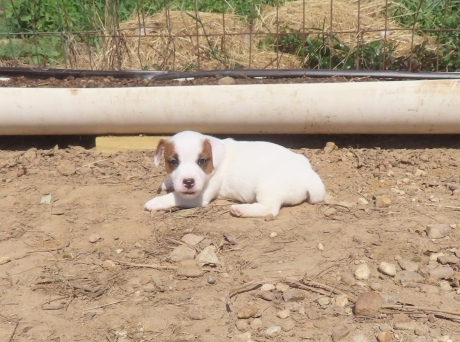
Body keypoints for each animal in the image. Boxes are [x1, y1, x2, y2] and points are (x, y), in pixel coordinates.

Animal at [146, 130, 326, 216]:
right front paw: (168, 182)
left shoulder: (199, 197)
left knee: (270, 209)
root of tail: (309, 175)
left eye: (202, 161)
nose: (188, 182)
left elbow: (175, 197)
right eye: (173, 162)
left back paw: (242, 210)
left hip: (267, 188)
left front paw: (155, 202)